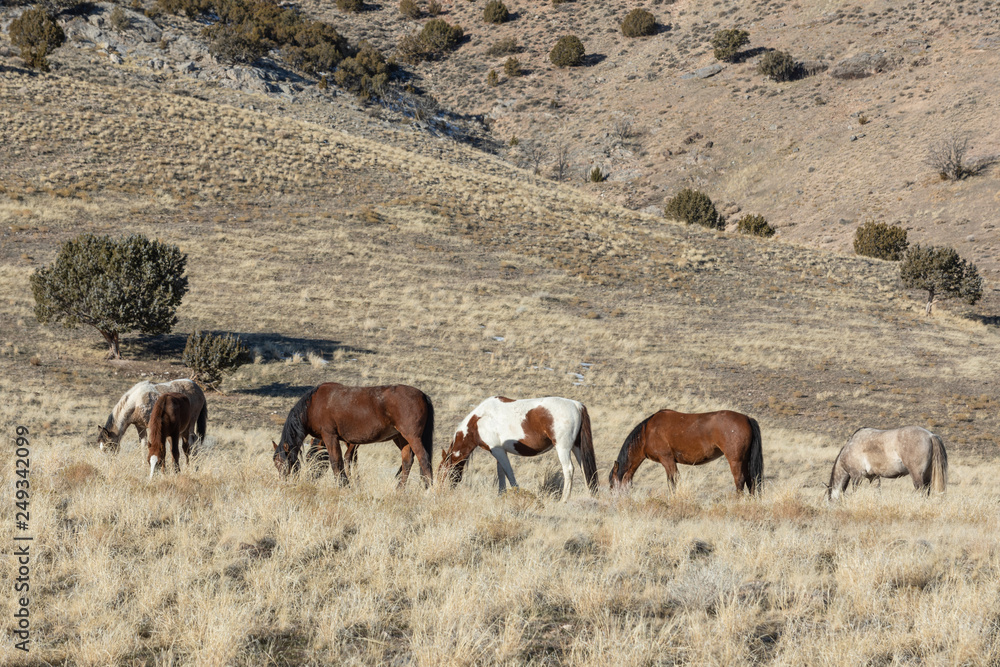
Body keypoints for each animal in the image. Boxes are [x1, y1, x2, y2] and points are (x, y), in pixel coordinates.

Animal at [274, 384, 434, 488]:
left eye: (283, 462)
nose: (283, 483)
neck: (312, 405)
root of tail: (423, 395)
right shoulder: (348, 442)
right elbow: (349, 461)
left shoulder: (330, 436)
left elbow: (336, 462)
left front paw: (344, 485)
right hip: (402, 438)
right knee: (407, 461)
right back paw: (400, 489)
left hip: (412, 437)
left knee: (424, 459)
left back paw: (428, 489)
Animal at [436, 396, 592, 500]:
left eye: (443, 473)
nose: (439, 493)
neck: (480, 420)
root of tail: (577, 405)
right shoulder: (500, 452)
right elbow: (501, 473)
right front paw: (501, 495)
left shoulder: (498, 451)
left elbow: (509, 473)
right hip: (577, 448)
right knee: (585, 469)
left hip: (563, 448)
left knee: (569, 470)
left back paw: (564, 500)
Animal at [604, 410, 760, 494]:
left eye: (612, 483)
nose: (614, 499)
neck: (646, 433)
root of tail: (747, 418)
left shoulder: (667, 460)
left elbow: (673, 481)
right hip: (744, 460)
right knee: (750, 480)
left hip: (736, 460)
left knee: (739, 480)